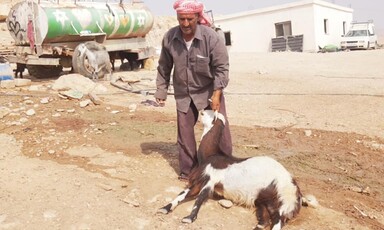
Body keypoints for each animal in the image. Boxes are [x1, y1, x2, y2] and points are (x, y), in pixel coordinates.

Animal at [156, 110, 308, 230]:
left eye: (206, 114)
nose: (200, 110)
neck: (213, 154)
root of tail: (293, 185)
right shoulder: (199, 180)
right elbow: (182, 194)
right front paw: (164, 208)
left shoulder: (210, 180)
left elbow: (199, 198)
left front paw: (189, 218)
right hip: (265, 201)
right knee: (265, 221)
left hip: (281, 200)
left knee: (278, 221)